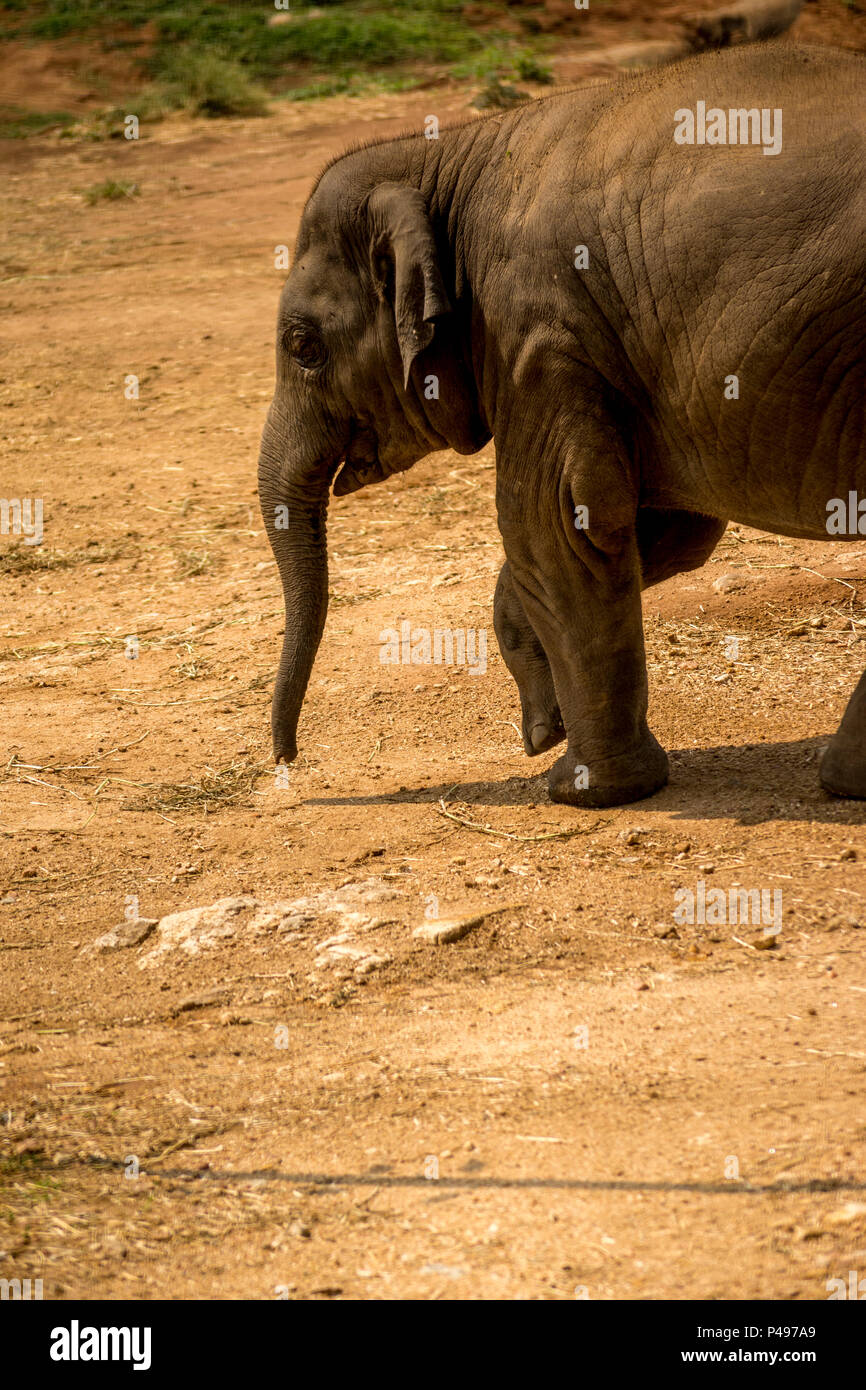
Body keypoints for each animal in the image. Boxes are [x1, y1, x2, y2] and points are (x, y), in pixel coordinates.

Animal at [258, 42, 866, 809]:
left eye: (303, 347)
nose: (287, 762)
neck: (447, 157)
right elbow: (668, 529)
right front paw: (543, 727)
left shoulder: (536, 333)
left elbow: (556, 524)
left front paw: (581, 787)